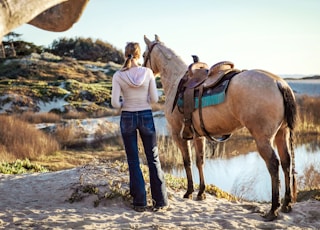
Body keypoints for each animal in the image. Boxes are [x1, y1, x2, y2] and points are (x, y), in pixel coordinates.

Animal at [142, 34, 298, 221]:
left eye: (144, 55)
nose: (143, 70)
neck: (176, 81)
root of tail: (279, 83)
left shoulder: (177, 134)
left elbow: (187, 161)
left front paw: (189, 192)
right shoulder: (198, 136)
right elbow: (200, 161)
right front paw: (201, 193)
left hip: (263, 139)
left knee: (274, 165)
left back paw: (273, 209)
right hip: (282, 133)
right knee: (286, 162)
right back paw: (286, 204)